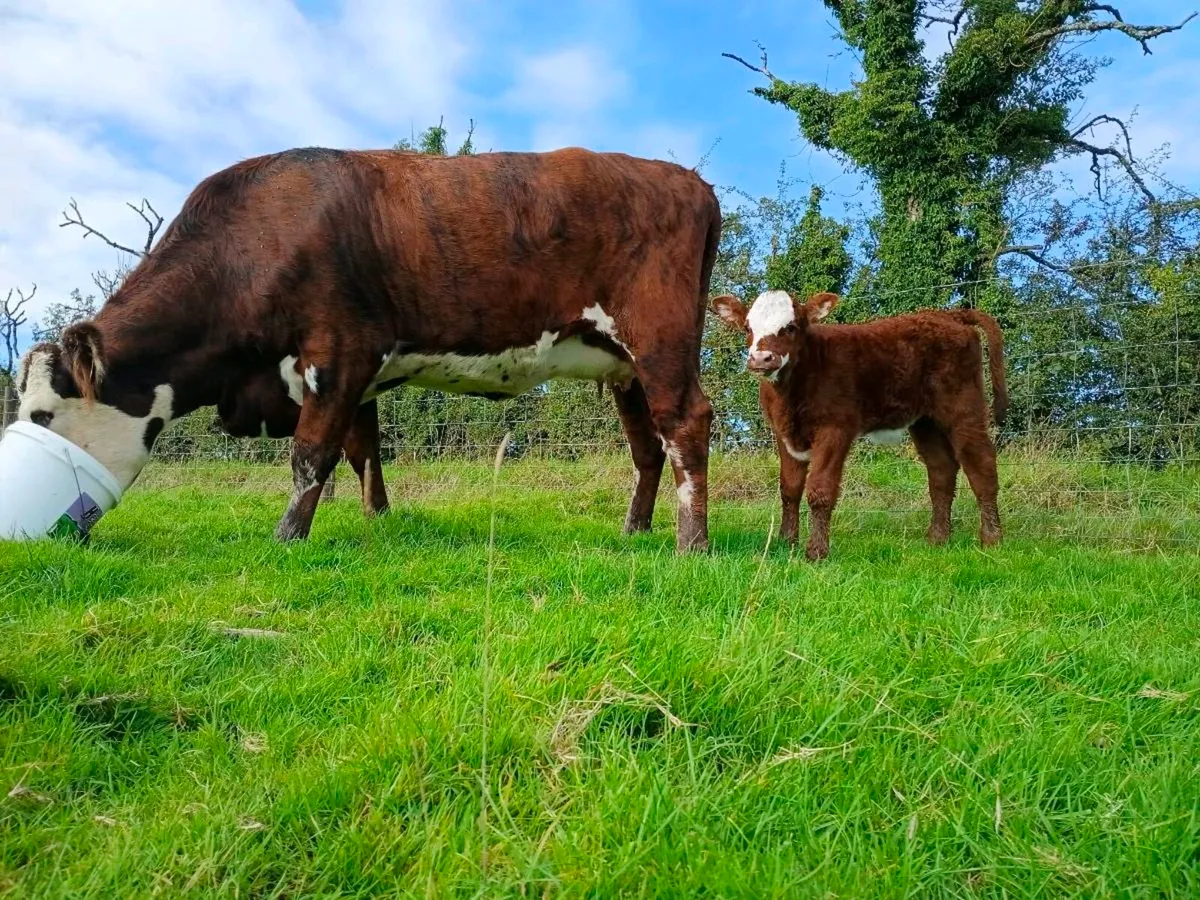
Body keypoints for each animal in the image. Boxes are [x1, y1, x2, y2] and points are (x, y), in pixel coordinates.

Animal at [16, 146, 721, 551]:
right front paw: (378, 521)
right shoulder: (357, 376)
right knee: (647, 448)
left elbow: (311, 455)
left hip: (659, 339)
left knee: (685, 425)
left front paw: (287, 539)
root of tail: (688, 181)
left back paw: (691, 544)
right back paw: (634, 531)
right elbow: (362, 453)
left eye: (43, 415)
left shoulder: (338, 353)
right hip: (625, 368)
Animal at [710, 290, 1007, 561]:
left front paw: (816, 552)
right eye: (748, 328)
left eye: (790, 327)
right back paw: (937, 538)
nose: (761, 359)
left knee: (981, 465)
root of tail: (949, 315)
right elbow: (789, 488)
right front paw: (786, 543)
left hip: (963, 405)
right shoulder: (784, 433)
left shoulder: (835, 428)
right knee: (941, 470)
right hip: (925, 420)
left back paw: (992, 539)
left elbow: (820, 489)